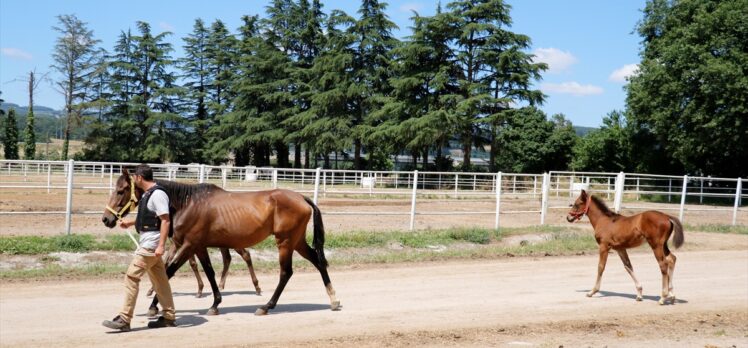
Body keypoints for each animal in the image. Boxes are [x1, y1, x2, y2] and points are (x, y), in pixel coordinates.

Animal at [102, 170, 338, 316]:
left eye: (121, 190)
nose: (107, 219)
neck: (187, 204)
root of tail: (301, 198)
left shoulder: (188, 245)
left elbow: (170, 271)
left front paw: (153, 306)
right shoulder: (199, 247)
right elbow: (209, 272)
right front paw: (215, 303)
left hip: (285, 242)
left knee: (286, 272)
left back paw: (266, 306)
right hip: (296, 241)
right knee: (318, 261)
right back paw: (333, 299)